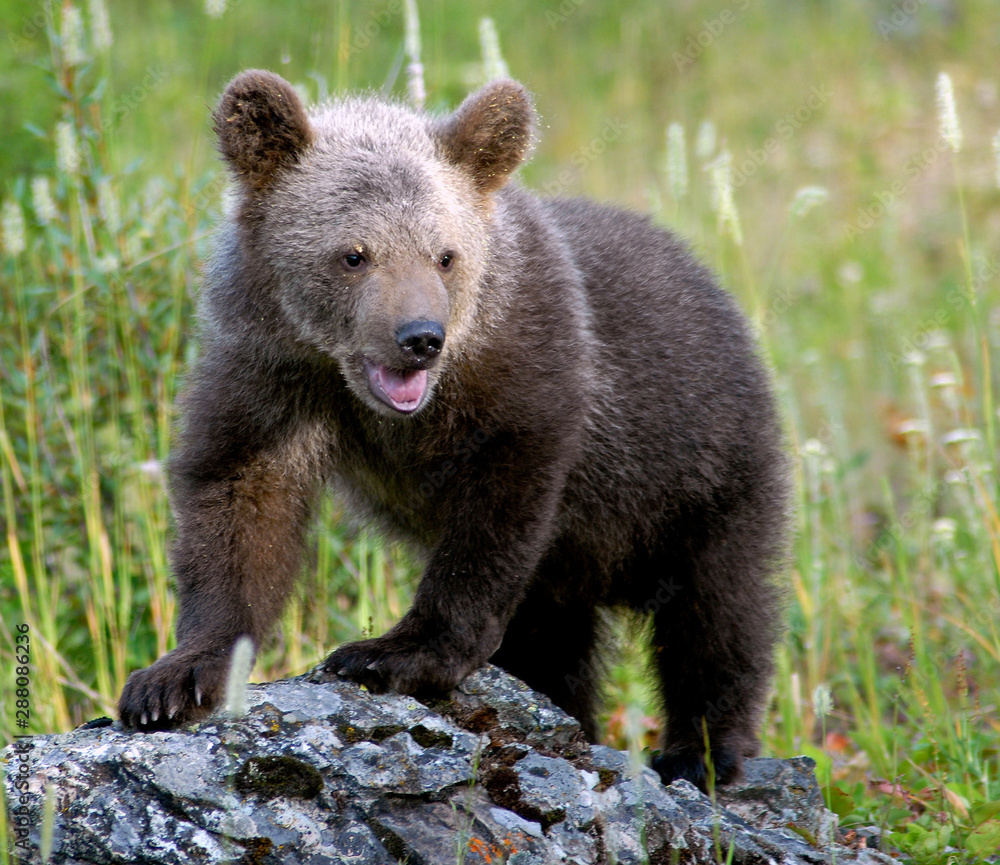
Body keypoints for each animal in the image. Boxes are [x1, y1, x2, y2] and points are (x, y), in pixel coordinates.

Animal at [117, 69, 790, 791]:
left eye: (445, 255)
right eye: (354, 254)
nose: (420, 338)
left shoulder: (529, 383)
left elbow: (490, 524)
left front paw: (389, 653)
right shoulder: (269, 374)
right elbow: (240, 503)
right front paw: (174, 678)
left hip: (701, 470)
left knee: (718, 610)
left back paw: (699, 750)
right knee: (562, 640)